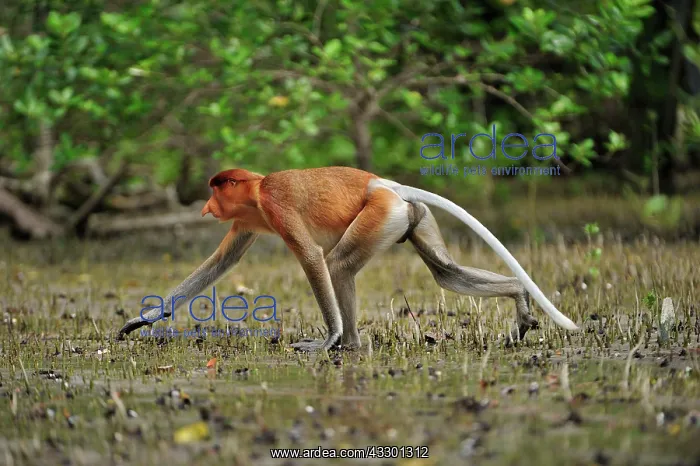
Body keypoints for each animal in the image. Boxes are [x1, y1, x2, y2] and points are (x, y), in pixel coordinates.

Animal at [117, 166, 578, 351]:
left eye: (217, 190)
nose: (206, 207)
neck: (257, 189)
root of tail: (387, 185)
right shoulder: (248, 220)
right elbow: (220, 262)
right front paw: (141, 319)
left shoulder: (276, 206)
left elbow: (311, 256)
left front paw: (328, 339)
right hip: (411, 217)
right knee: (447, 274)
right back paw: (520, 301)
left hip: (379, 215)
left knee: (338, 265)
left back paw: (348, 343)